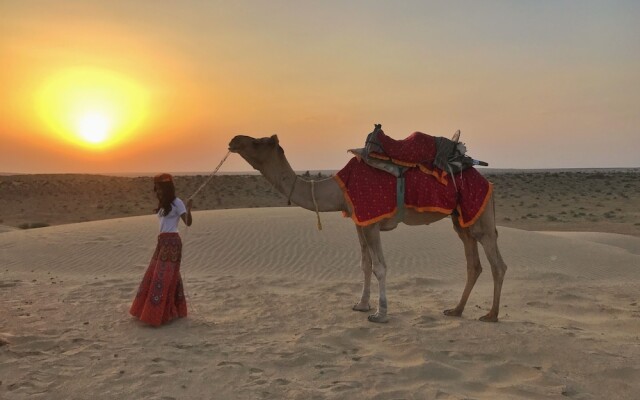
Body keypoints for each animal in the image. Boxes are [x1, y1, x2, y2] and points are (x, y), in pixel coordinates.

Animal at [228, 134, 508, 322]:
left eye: (258, 141)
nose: (234, 140)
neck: (338, 189)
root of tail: (488, 183)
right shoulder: (359, 223)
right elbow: (365, 264)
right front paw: (361, 304)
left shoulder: (372, 222)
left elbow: (380, 267)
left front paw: (380, 313)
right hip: (460, 219)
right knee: (474, 263)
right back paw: (456, 310)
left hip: (479, 214)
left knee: (497, 263)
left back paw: (491, 315)